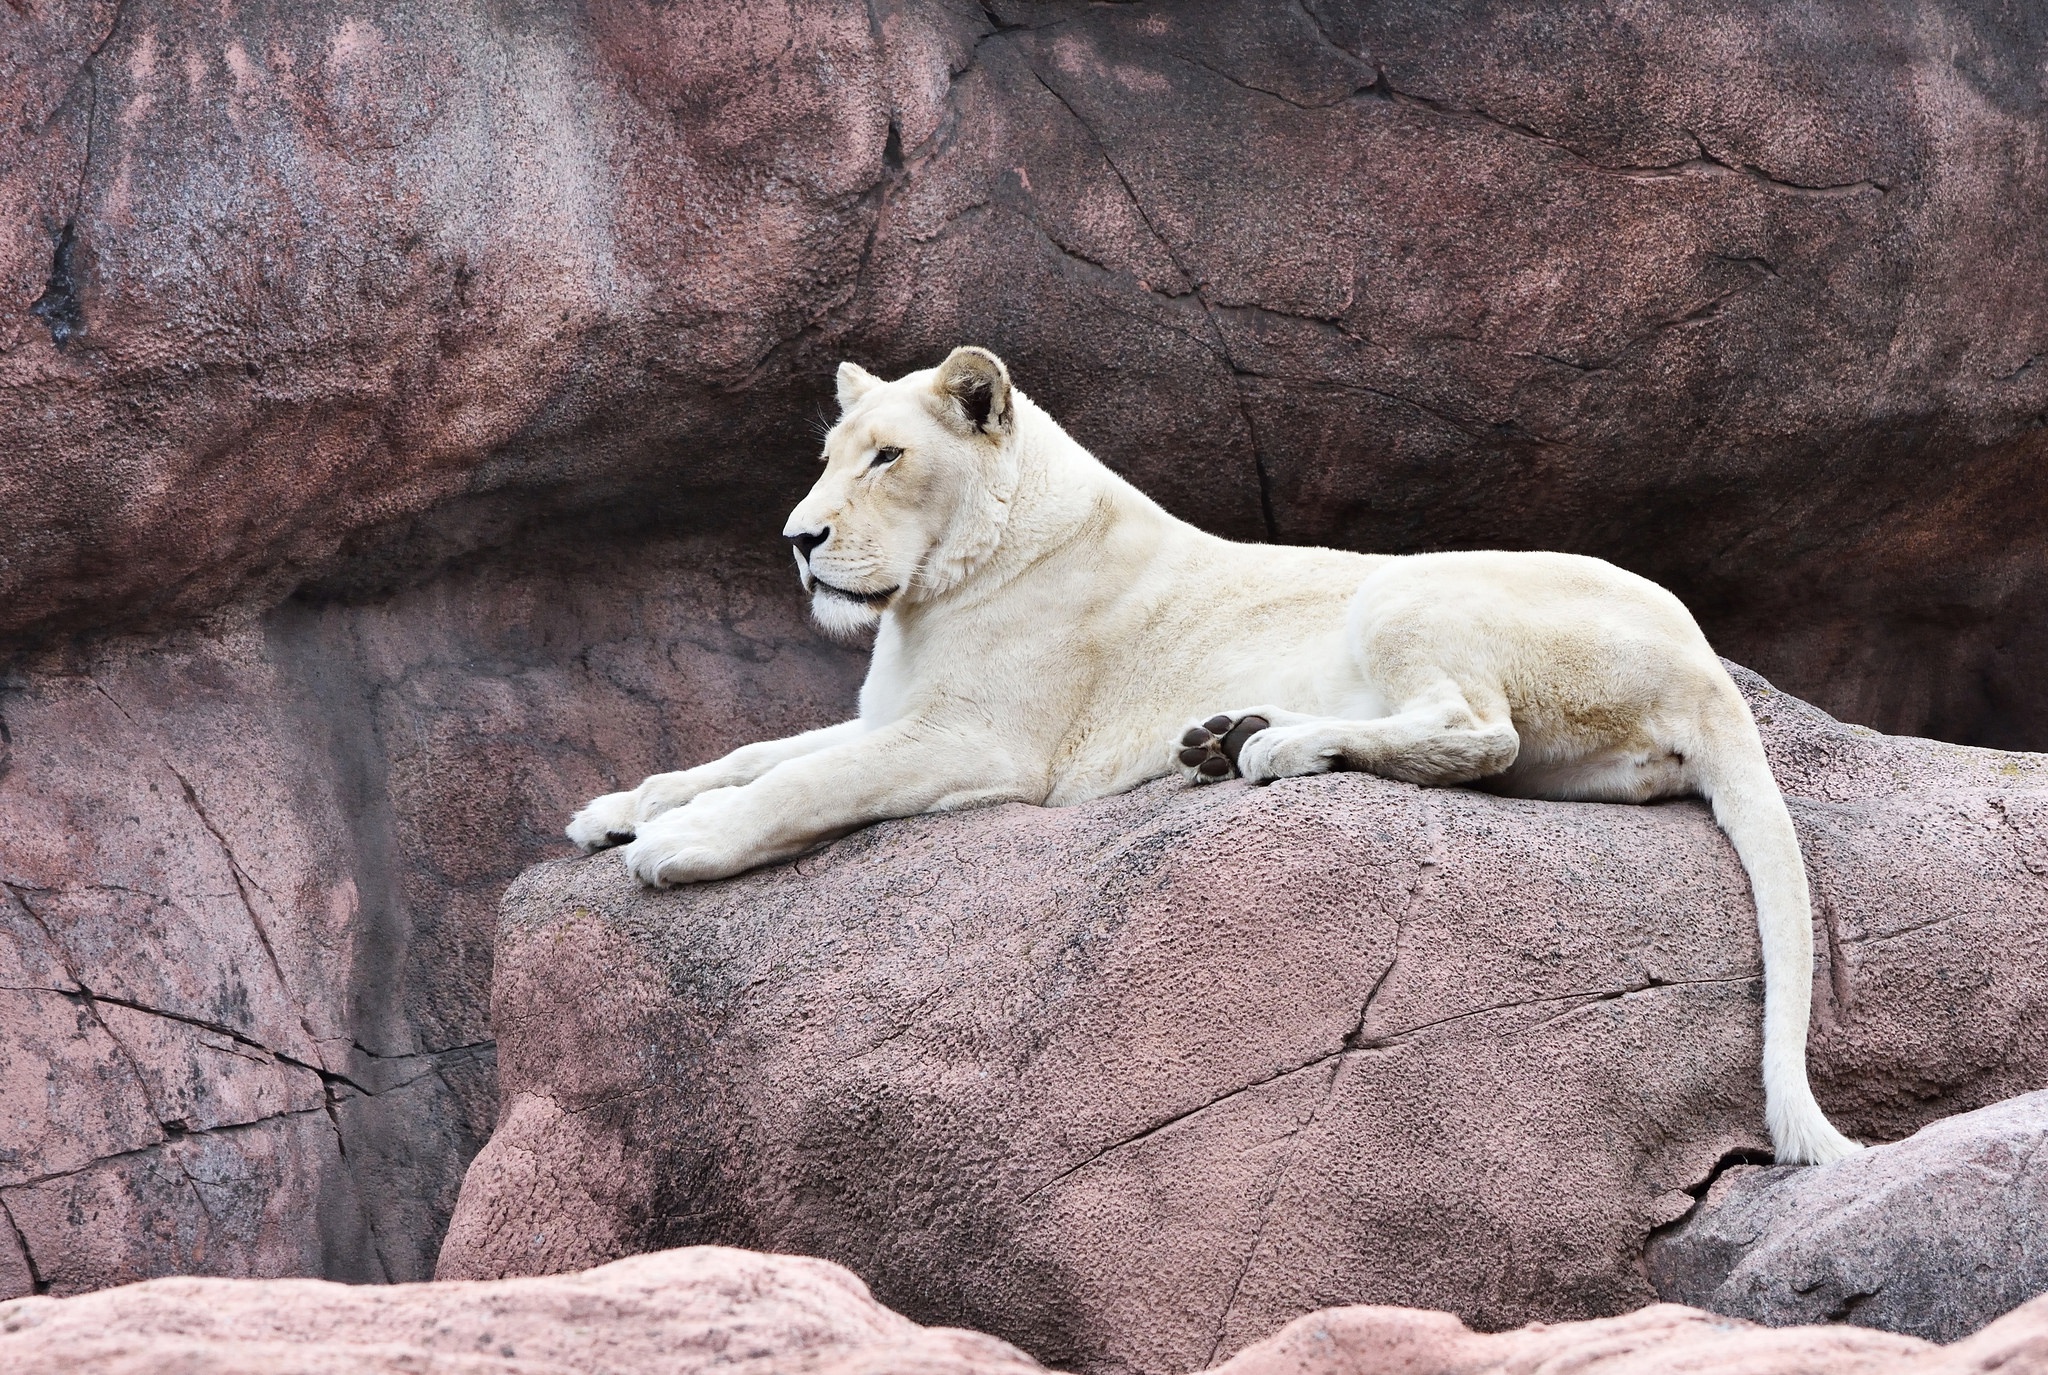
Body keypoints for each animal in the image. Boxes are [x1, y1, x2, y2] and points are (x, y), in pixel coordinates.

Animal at [569, 344, 1867, 1163]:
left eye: (886, 457)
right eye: (834, 452)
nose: (798, 538)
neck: (934, 592)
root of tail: (1707, 661)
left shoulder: (979, 743)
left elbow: (801, 777)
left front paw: (676, 845)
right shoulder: (893, 711)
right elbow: (752, 747)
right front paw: (616, 807)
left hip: (1409, 588)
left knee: (1474, 732)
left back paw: (1261, 745)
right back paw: (1224, 735)